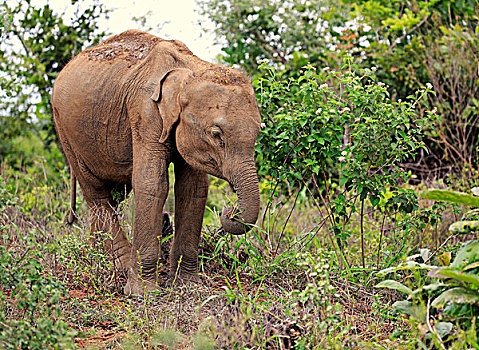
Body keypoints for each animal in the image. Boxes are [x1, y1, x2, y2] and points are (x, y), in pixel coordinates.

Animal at [52, 30, 260, 296]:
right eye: (217, 135)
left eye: (258, 132)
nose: (229, 210)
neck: (191, 69)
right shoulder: (145, 112)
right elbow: (152, 184)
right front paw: (142, 294)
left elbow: (193, 189)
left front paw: (187, 285)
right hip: (66, 131)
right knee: (96, 193)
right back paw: (119, 265)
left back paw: (97, 255)